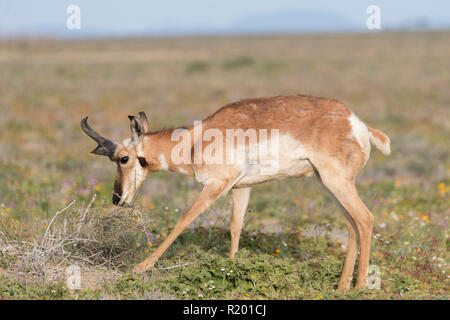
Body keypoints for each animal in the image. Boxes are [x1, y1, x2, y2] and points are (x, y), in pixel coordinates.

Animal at [81, 94, 390, 292]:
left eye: (123, 158)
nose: (116, 199)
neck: (194, 141)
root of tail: (357, 123)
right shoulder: (241, 187)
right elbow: (235, 226)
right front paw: (231, 270)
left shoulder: (216, 185)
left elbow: (184, 219)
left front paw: (141, 267)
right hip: (329, 184)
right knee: (352, 225)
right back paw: (341, 287)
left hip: (336, 182)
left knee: (365, 219)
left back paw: (360, 287)